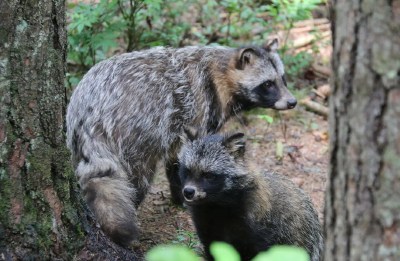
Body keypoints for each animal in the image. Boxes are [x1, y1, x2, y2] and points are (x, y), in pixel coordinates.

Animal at [66, 39, 296, 245]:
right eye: (268, 84)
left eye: (283, 78)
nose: (292, 102)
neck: (218, 76)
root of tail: (90, 111)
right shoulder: (196, 111)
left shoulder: (175, 131)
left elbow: (177, 160)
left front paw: (179, 195)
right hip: (135, 132)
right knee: (138, 177)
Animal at [178, 128, 322, 260]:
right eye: (187, 171)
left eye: (209, 175)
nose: (188, 191)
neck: (216, 207)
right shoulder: (208, 229)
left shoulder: (259, 231)